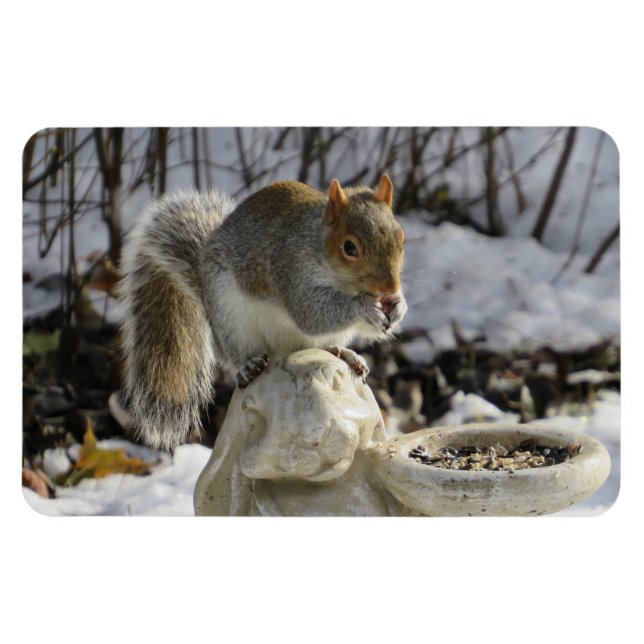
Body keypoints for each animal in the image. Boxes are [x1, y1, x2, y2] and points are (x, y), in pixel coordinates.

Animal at [118, 175, 407, 451]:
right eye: (349, 247)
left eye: (401, 238)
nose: (390, 289)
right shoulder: (290, 269)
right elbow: (310, 313)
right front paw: (363, 307)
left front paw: (399, 306)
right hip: (231, 321)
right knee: (237, 356)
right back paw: (247, 366)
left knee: (325, 345)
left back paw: (344, 353)